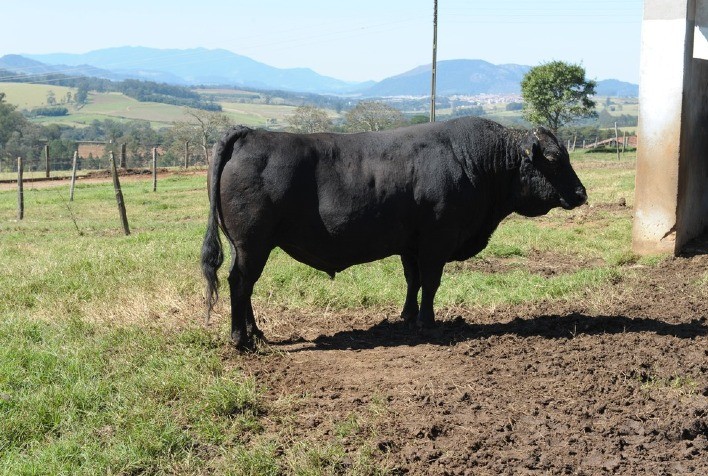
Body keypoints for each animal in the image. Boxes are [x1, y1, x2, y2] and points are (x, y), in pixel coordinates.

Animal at [199, 117, 588, 348]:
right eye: (555, 159)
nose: (582, 193)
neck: (474, 161)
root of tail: (249, 134)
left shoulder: (410, 244)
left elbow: (412, 280)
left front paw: (407, 315)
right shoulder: (436, 241)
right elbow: (430, 282)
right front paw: (427, 322)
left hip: (249, 245)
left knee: (245, 285)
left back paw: (256, 332)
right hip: (253, 243)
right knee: (240, 283)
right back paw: (241, 339)